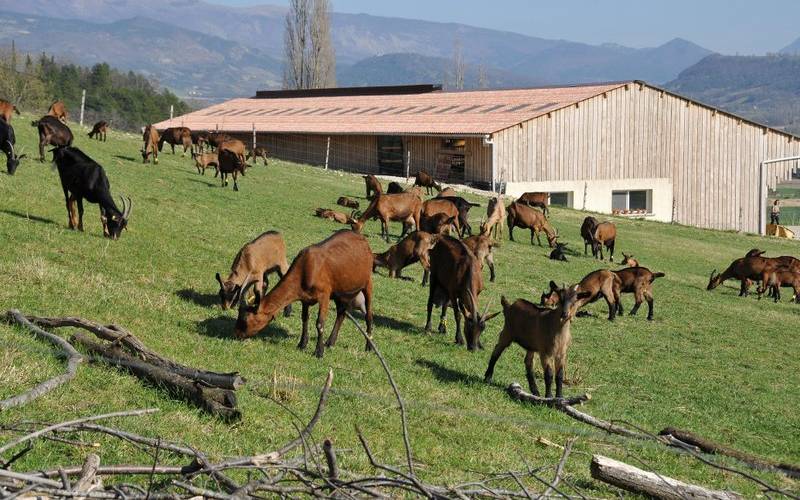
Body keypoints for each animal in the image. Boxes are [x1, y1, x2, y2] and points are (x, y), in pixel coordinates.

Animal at [235, 230, 374, 359]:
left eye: (245, 319)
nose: (237, 334)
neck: (307, 268)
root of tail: (364, 241)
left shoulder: (325, 295)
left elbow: (320, 323)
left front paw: (319, 352)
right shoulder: (305, 299)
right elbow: (304, 319)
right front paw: (302, 344)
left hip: (367, 283)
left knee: (368, 315)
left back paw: (368, 346)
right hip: (342, 292)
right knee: (341, 313)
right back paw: (330, 342)